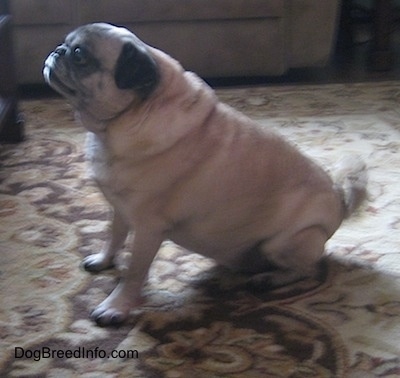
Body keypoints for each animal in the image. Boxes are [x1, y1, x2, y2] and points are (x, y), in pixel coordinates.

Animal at [43, 22, 366, 326]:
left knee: (309, 269)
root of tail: (339, 198)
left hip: (283, 243)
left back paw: (270, 279)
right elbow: (113, 236)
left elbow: (134, 272)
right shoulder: (120, 208)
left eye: (79, 55)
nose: (57, 50)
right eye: (66, 45)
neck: (126, 119)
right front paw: (104, 260)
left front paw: (116, 306)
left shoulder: (148, 228)